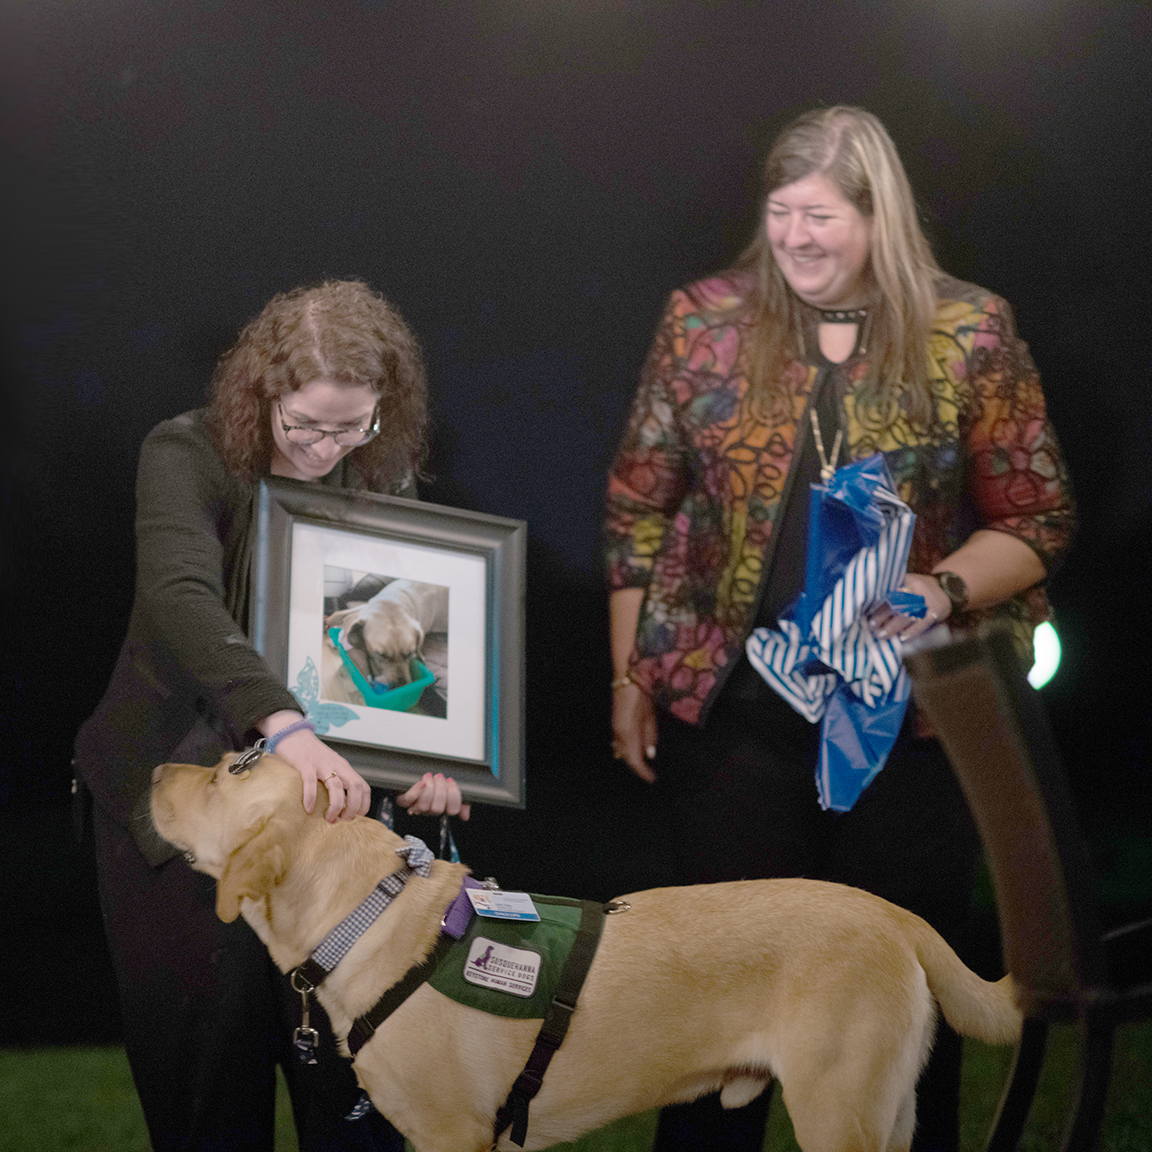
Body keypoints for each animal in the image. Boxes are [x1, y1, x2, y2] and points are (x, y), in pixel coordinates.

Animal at [150, 755, 1018, 1152]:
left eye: (233, 767)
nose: (156, 769)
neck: (366, 912)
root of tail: (894, 914)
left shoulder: (452, 1136)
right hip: (886, 1116)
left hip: (839, 1114)